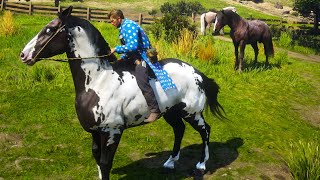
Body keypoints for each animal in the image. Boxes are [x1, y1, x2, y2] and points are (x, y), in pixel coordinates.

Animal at [20, 6, 225, 179]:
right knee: (179, 130)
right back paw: (170, 162)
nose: (23, 55)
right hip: (171, 112)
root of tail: (198, 73)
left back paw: (201, 165)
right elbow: (97, 159)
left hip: (192, 112)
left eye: (49, 29)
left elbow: (105, 163)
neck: (98, 82)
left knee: (205, 130)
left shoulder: (112, 132)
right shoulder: (94, 132)